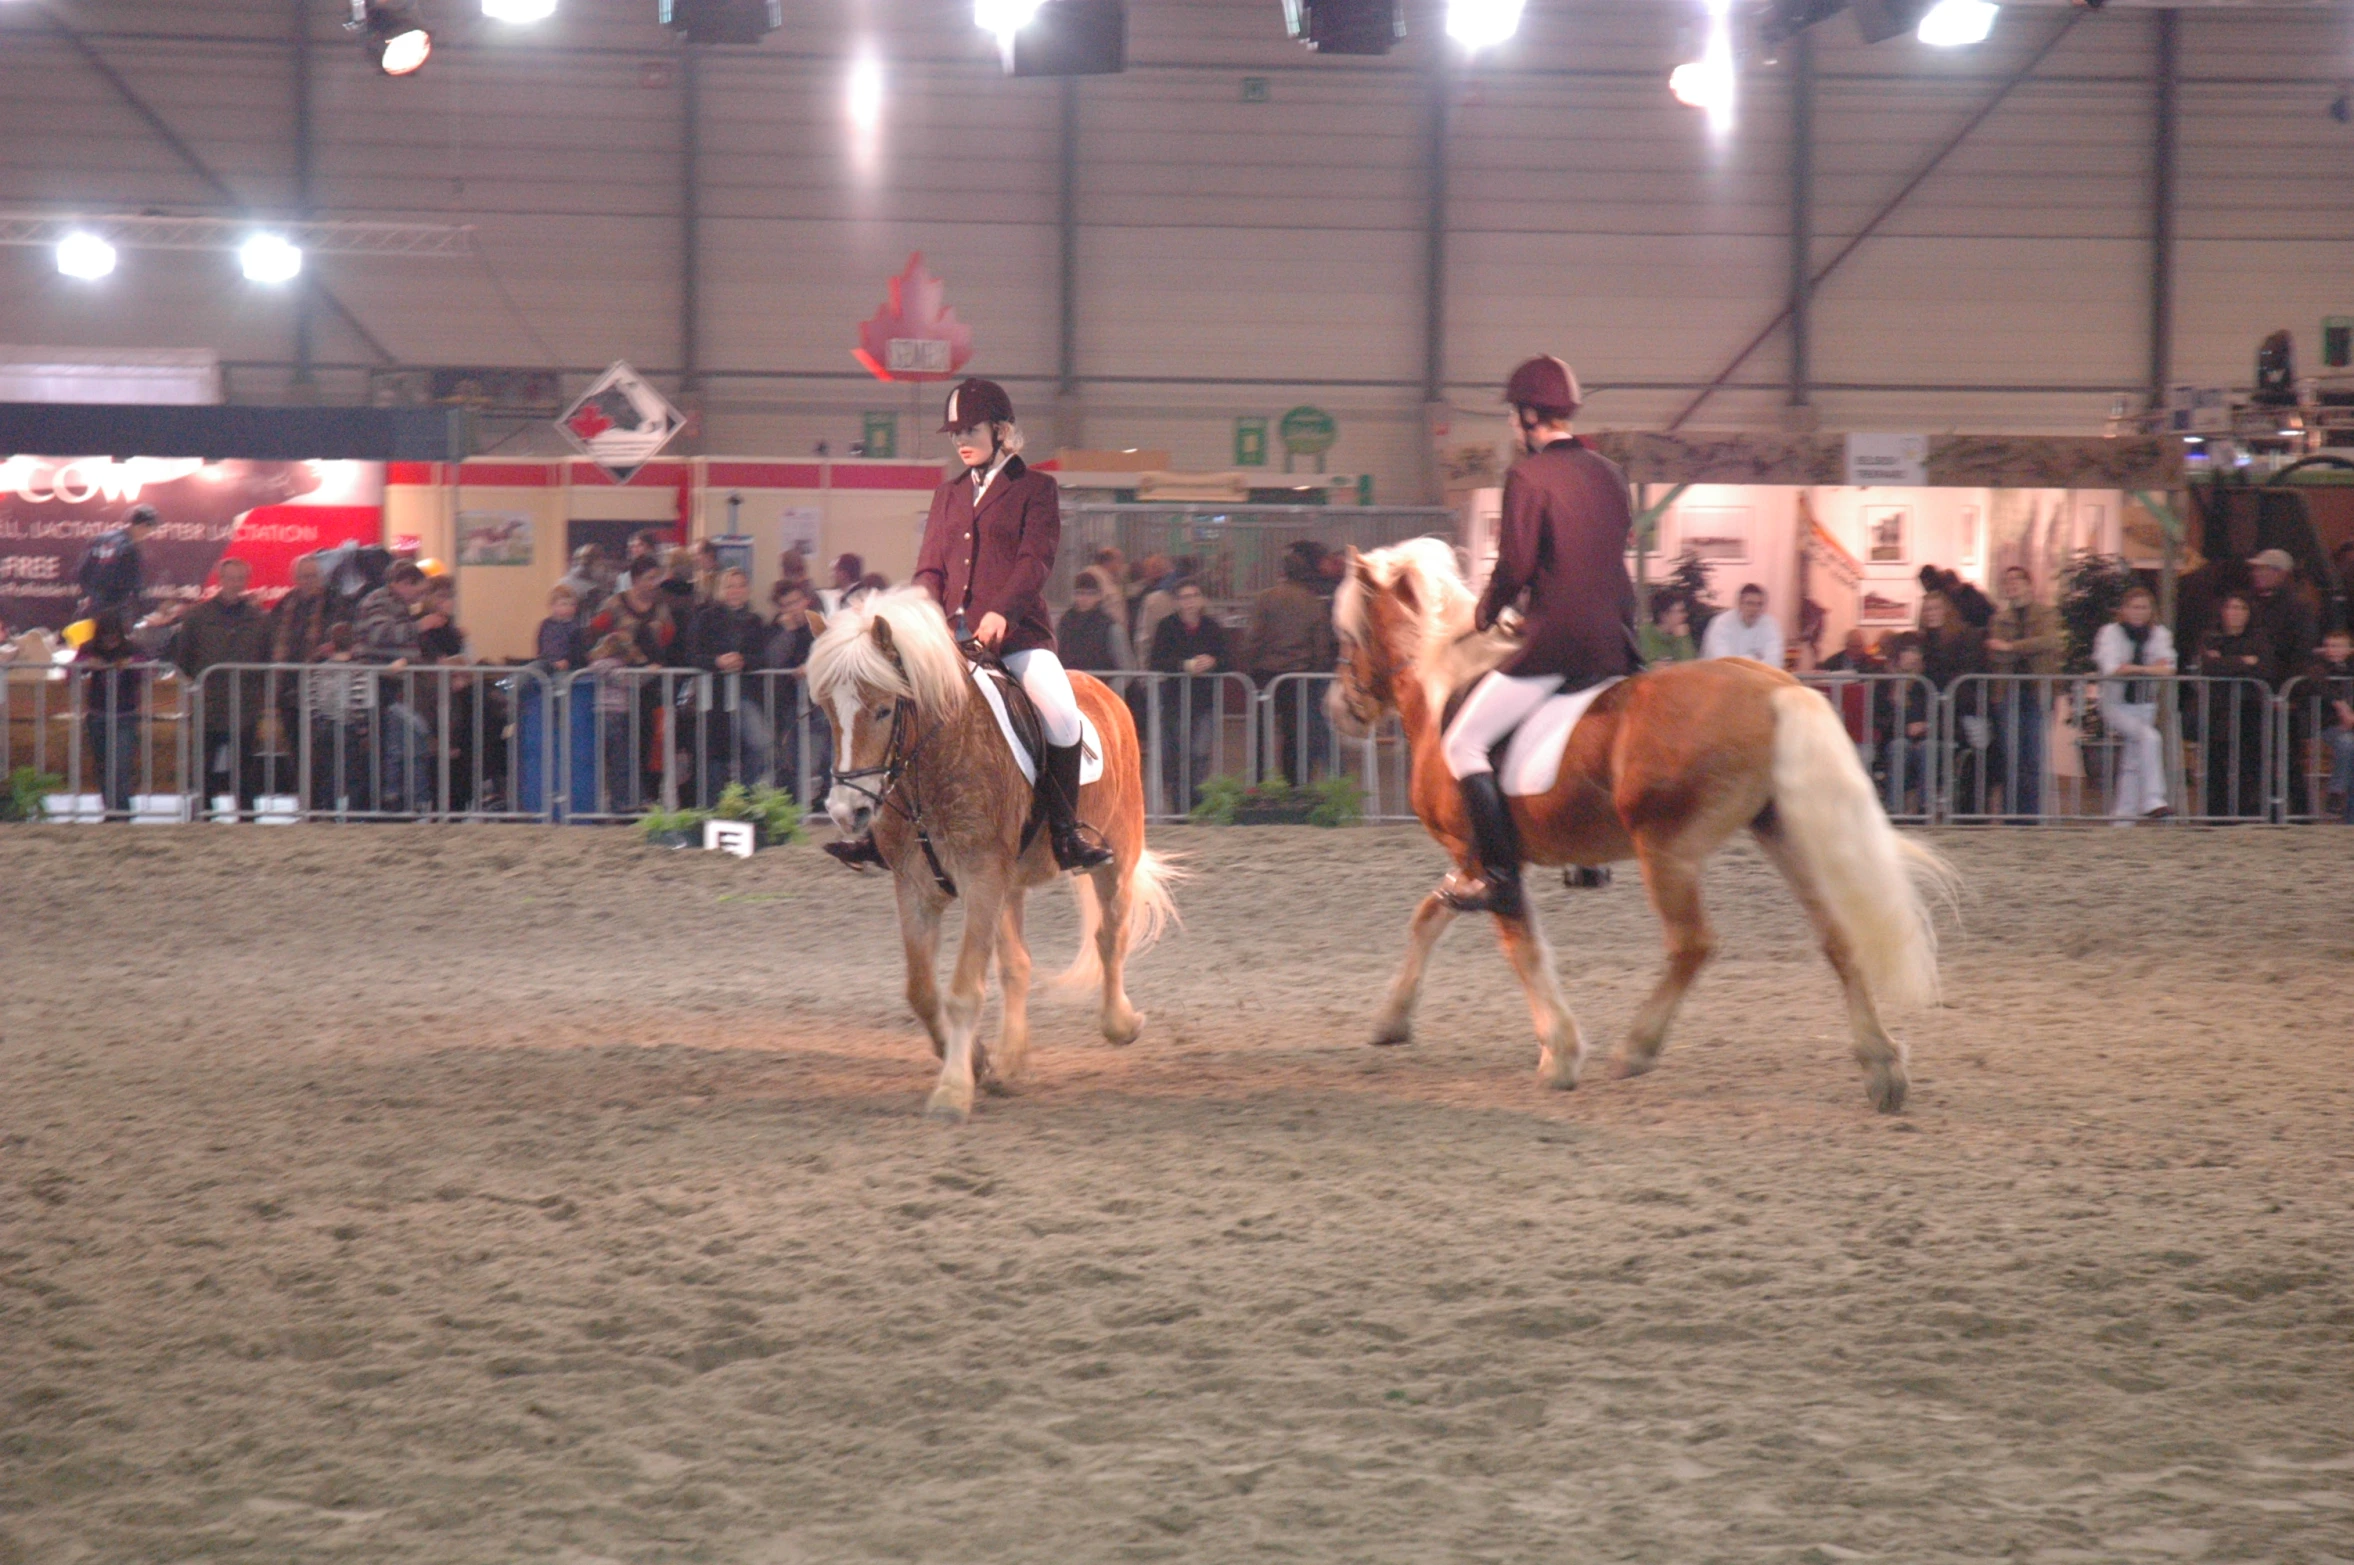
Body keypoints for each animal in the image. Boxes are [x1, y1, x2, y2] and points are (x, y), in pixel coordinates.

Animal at [805, 593, 1177, 1115]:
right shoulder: (916, 887)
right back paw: (1011, 1061)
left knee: (1109, 935)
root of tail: (1106, 690)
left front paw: (952, 1090)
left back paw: (1120, 1025)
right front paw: (974, 1060)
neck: (934, 762)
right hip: (1011, 884)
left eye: (883, 710)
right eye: (826, 711)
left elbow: (963, 990)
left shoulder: (981, 879)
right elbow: (921, 991)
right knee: (1016, 964)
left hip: (1117, 853)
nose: (846, 811)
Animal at [1327, 541, 1949, 1110]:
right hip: (1781, 833)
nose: (1340, 710)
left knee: (1692, 944)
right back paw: (1882, 1066)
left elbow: (1520, 948)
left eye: (1347, 635)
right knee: (1839, 937)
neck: (1443, 687)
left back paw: (1636, 1048)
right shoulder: (1474, 858)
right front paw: (1391, 1020)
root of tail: (1777, 687)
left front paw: (1559, 1054)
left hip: (1666, 852)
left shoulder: (1483, 857)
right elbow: (1427, 918)